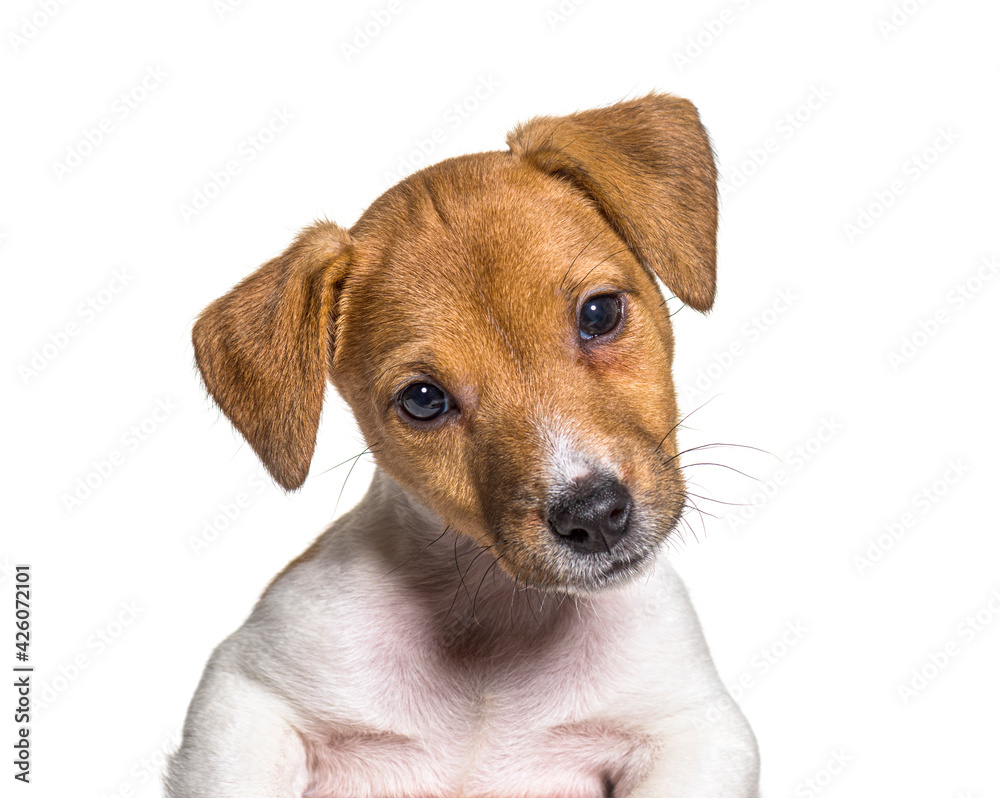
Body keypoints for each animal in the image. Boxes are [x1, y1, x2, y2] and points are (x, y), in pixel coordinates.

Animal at [166, 90, 756, 796]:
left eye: (599, 313)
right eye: (424, 400)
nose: (594, 517)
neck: (498, 623)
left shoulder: (698, 730)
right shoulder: (244, 698)